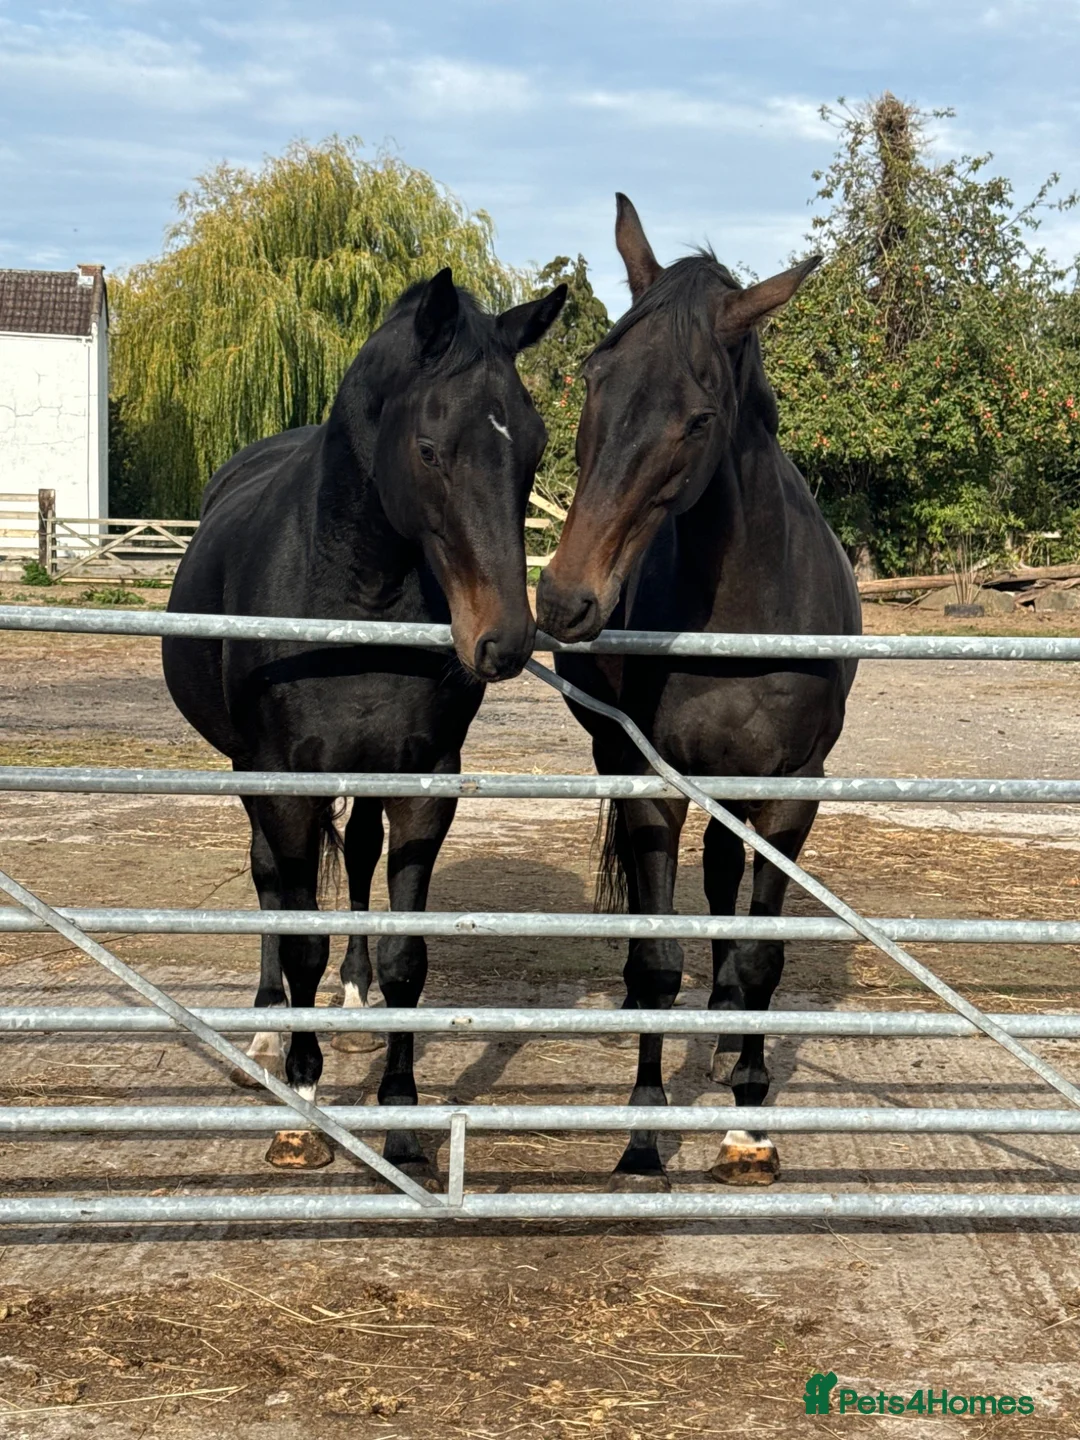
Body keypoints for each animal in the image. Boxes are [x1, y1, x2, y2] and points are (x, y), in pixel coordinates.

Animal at [163, 267, 566, 1182]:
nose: (503, 641)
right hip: (251, 775)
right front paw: (306, 1111)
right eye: (430, 448)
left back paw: (349, 997)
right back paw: (268, 1030)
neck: (352, 595)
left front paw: (404, 1123)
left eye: (532, 447)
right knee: (271, 884)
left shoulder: (424, 780)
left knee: (354, 860)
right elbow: (299, 935)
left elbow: (405, 955)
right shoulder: (286, 781)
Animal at [535, 196, 860, 1190]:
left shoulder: (791, 792)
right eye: (594, 378)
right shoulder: (651, 784)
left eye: (697, 417)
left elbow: (760, 958)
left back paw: (725, 1046)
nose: (565, 599)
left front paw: (750, 1126)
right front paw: (643, 1138)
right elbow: (653, 964)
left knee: (726, 893)